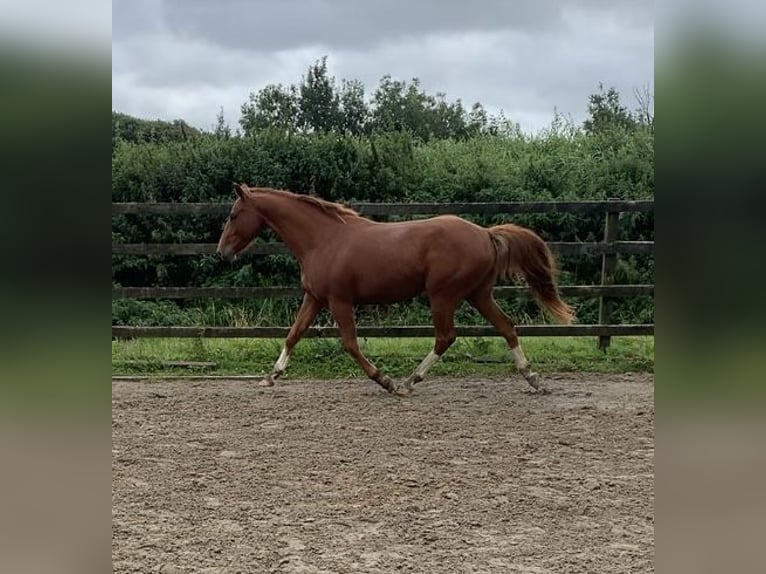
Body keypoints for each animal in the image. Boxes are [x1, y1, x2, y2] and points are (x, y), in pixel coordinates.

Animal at [216, 184, 576, 396]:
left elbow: (350, 345)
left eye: (233, 214)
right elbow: (293, 335)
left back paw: (408, 382)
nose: (222, 253)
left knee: (446, 337)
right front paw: (271, 376)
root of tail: (485, 233)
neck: (323, 239)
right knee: (506, 327)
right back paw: (533, 379)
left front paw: (384, 380)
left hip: (443, 295)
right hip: (478, 294)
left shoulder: (339, 301)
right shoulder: (315, 298)